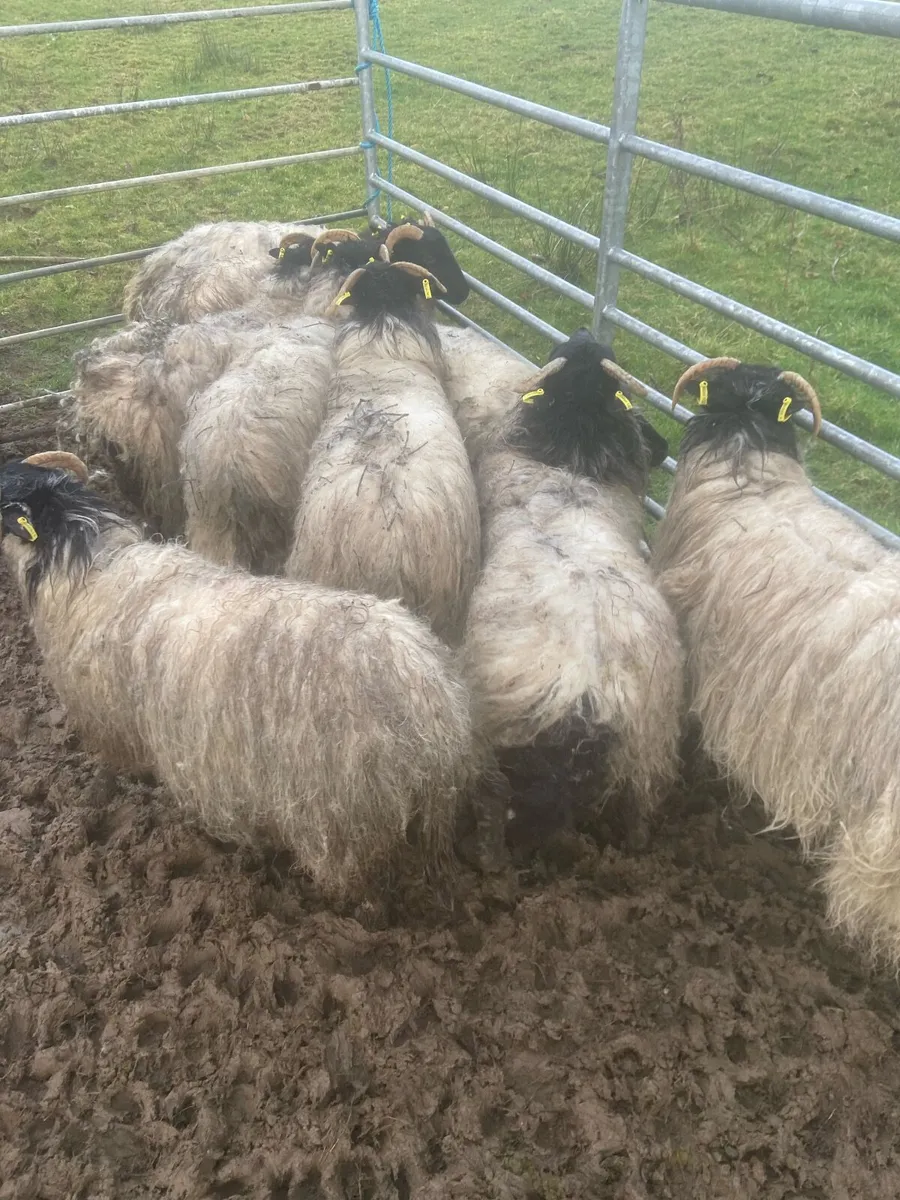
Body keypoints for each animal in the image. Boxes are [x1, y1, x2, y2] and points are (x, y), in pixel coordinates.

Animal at [462, 328, 683, 849]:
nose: (585, 334)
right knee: (638, 821)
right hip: (647, 758)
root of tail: (589, 692)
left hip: (496, 748)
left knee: (492, 814)